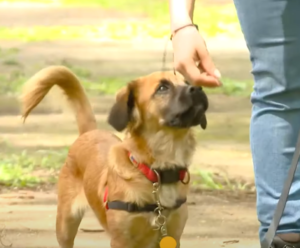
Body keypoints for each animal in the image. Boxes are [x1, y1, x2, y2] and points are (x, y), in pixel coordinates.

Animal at [20, 66, 209, 248]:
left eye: (187, 82)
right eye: (162, 88)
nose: (198, 88)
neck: (156, 171)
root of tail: (89, 132)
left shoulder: (172, 236)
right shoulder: (121, 240)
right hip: (66, 224)